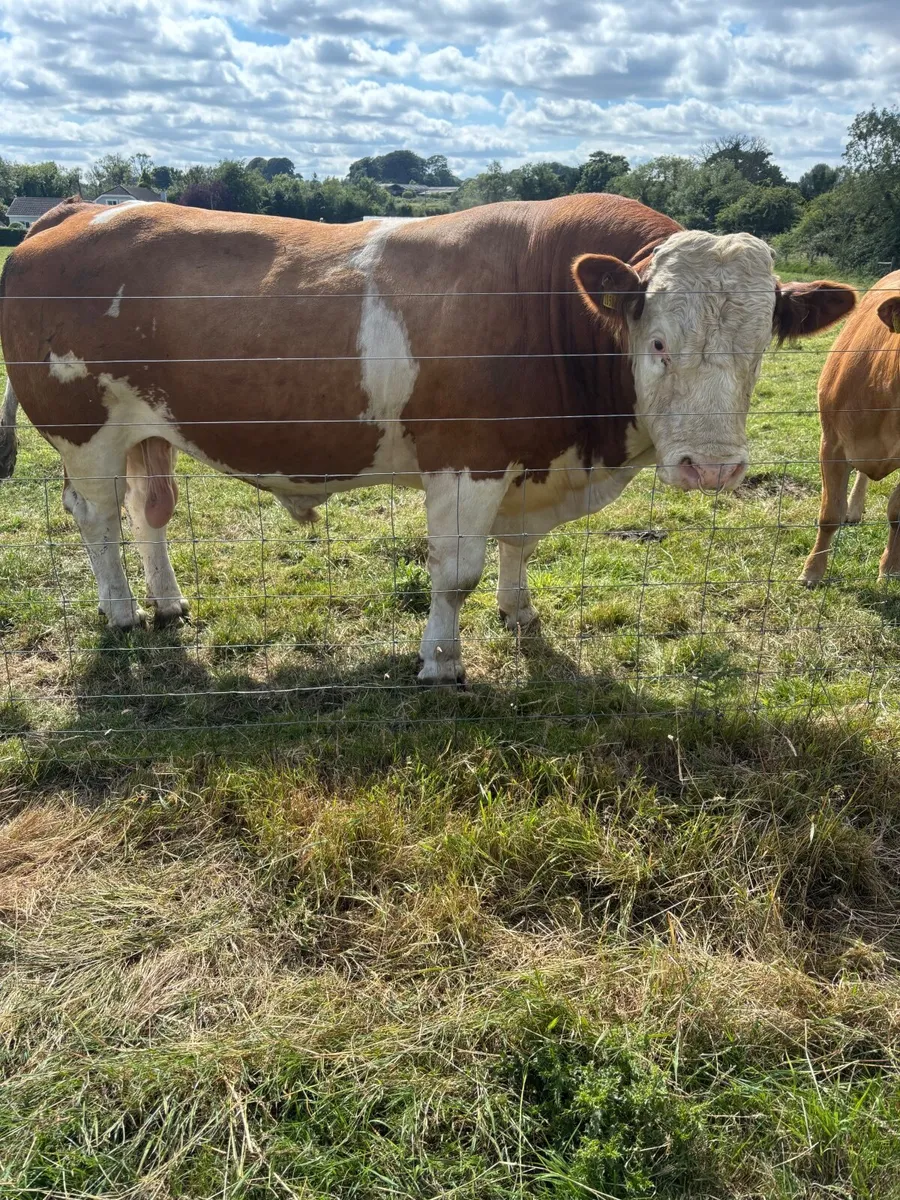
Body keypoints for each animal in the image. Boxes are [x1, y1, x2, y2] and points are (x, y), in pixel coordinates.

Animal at [0, 194, 855, 685]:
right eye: (658, 343)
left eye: (761, 345)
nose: (711, 467)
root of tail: (79, 207)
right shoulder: (467, 460)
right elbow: (455, 575)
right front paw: (442, 661)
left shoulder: (525, 463)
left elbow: (516, 551)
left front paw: (520, 613)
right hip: (83, 428)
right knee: (97, 518)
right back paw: (120, 612)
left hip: (148, 428)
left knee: (149, 511)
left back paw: (168, 602)